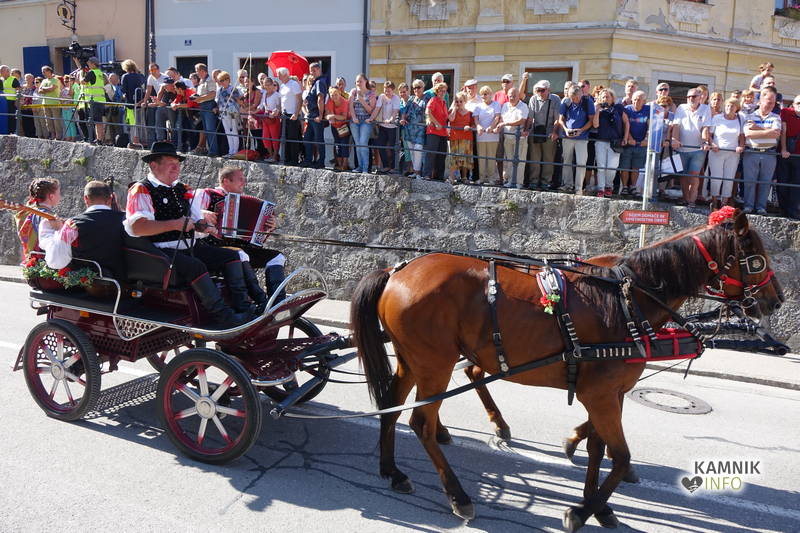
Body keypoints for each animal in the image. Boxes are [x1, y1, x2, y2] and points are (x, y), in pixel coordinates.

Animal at [350, 210, 782, 532]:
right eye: (756, 257)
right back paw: (458, 494)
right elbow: (619, 455)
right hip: (434, 365)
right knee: (420, 422)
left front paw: (597, 501)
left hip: (411, 360)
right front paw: (582, 510)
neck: (625, 298)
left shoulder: (610, 392)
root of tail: (397, 271)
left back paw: (393, 471)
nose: (776, 301)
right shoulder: (601, 394)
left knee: (391, 406)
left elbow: (598, 449)